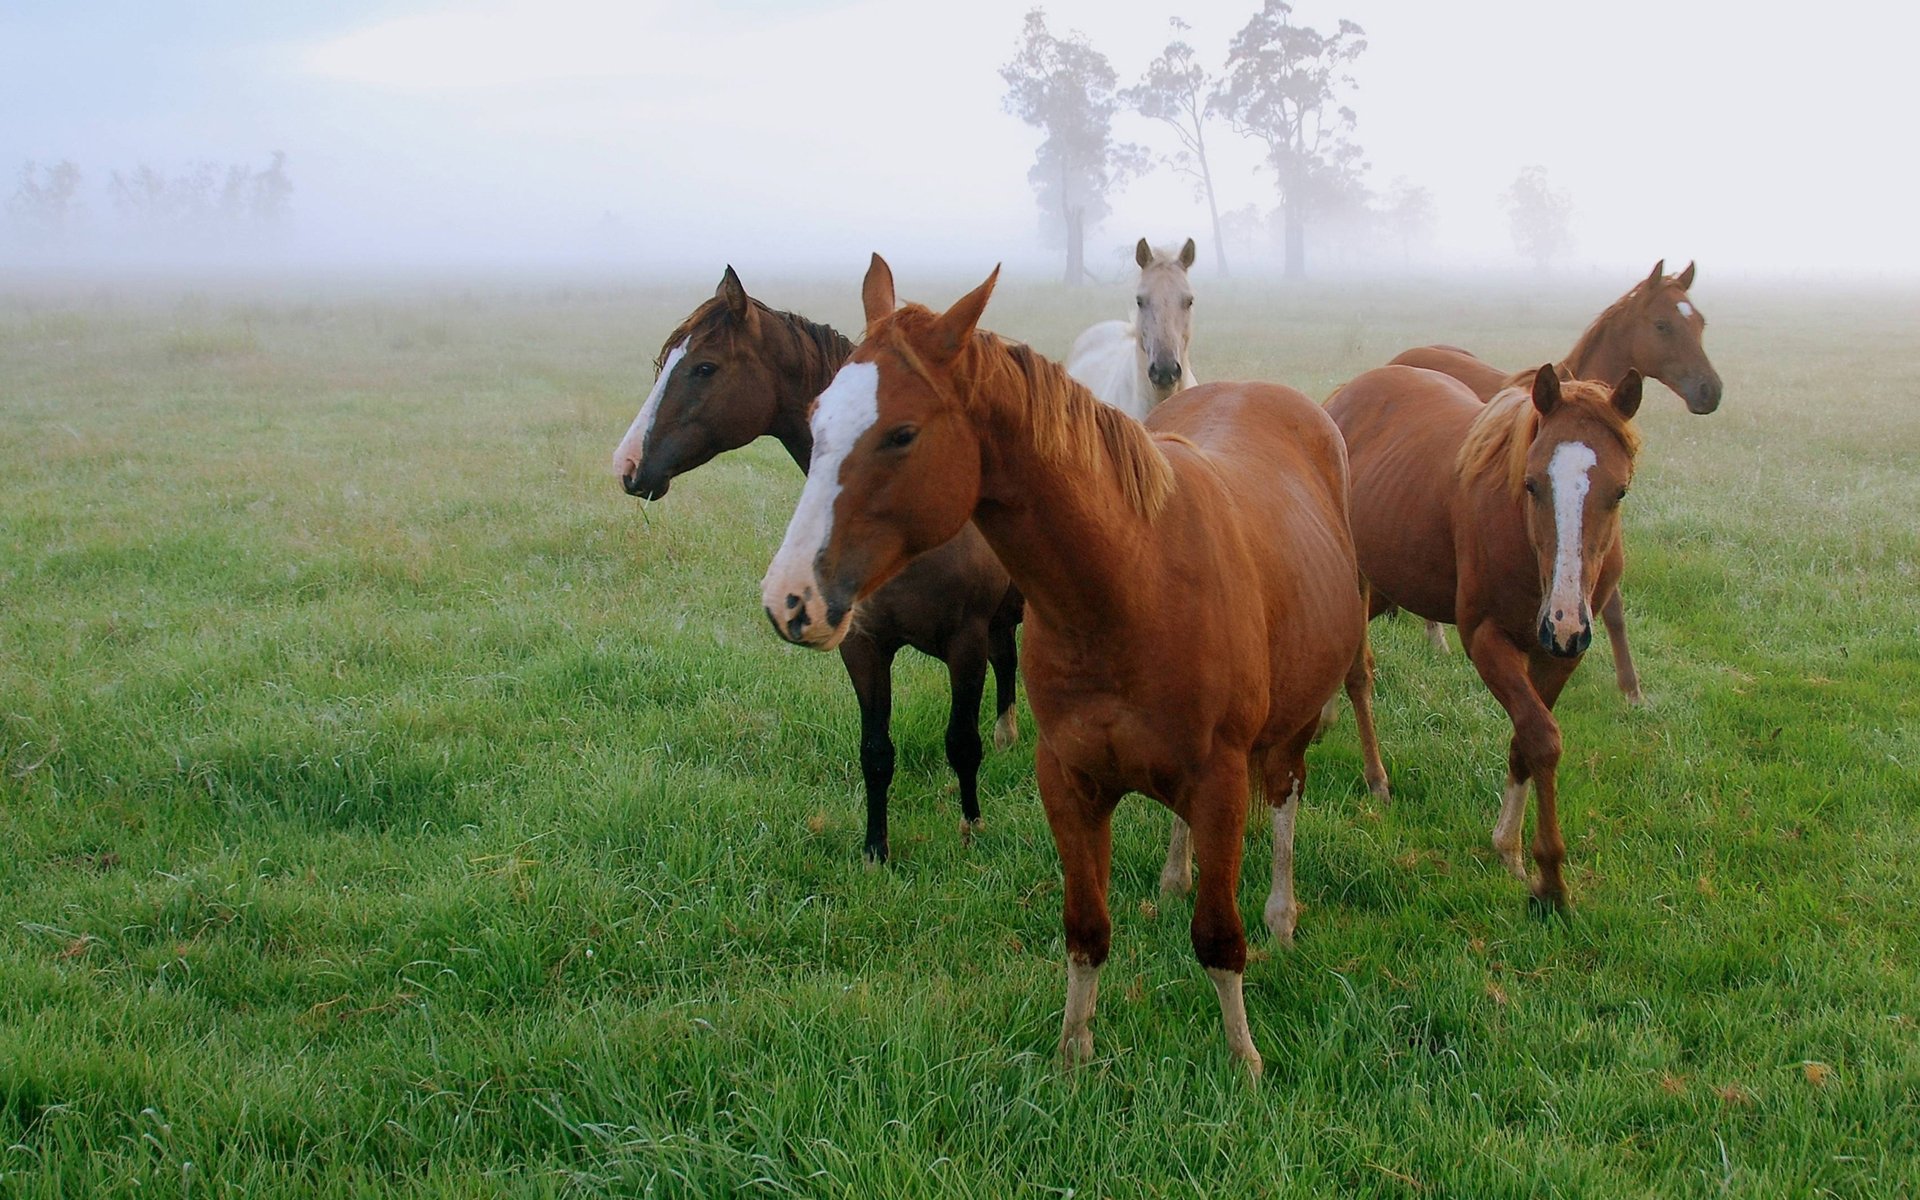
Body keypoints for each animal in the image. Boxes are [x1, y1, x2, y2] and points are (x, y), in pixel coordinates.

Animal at [610, 264, 1029, 860]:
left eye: (704, 367)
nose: (627, 466)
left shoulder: (963, 643)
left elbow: (961, 743)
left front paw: (972, 828)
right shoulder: (863, 647)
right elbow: (876, 752)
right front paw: (875, 851)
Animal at [756, 255, 1374, 1075]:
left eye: (902, 433)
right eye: (817, 418)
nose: (789, 599)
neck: (1130, 582)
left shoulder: (1219, 779)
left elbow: (1218, 937)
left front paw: (1243, 1061)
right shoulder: (1069, 780)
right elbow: (1086, 930)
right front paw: (1073, 1055)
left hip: (1293, 725)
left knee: (1284, 798)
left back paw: (1280, 913)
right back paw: (1175, 877)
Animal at [1328, 364, 1643, 906]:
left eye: (1619, 491)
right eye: (1532, 484)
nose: (1563, 620)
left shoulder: (1559, 656)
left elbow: (1526, 739)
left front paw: (1509, 850)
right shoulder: (1486, 640)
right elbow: (1541, 738)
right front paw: (1549, 880)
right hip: (1358, 576)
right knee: (1357, 675)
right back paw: (1376, 779)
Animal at [1390, 255, 1720, 698]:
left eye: (1699, 322)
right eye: (1663, 325)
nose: (1710, 391)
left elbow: (1611, 605)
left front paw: (1631, 689)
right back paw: (1435, 637)